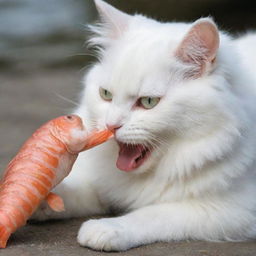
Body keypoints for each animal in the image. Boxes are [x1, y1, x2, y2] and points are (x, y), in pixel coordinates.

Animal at [35, 0, 256, 250]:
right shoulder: (104, 185)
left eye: (149, 102)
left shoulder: (230, 209)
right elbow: (71, 192)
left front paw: (106, 228)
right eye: (106, 94)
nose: (111, 125)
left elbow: (153, 215)